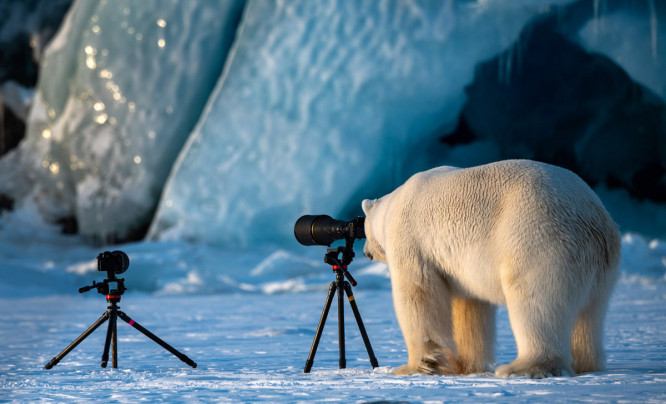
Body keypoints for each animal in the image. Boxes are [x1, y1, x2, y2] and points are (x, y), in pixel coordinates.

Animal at [364, 159, 616, 378]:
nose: (366, 253)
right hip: (599, 266)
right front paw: (463, 366)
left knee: (535, 303)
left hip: (538, 239)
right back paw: (586, 364)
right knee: (590, 315)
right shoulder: (461, 268)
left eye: (364, 231)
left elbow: (418, 295)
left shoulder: (411, 240)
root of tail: (592, 217)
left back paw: (522, 367)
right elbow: (470, 307)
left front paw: (414, 367)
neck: (392, 205)